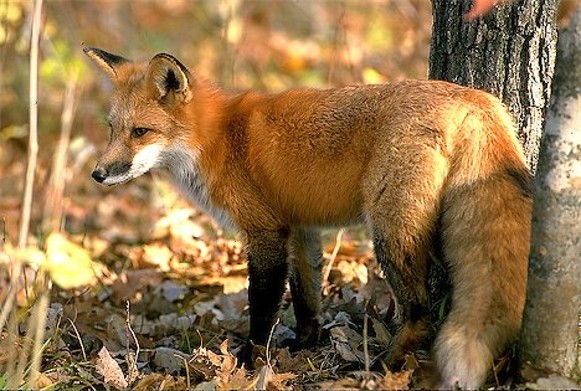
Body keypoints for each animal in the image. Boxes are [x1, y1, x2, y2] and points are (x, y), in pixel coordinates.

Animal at [84, 46, 532, 388]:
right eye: (112, 129)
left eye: (140, 132)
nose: (97, 174)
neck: (220, 140)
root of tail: (471, 98)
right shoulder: (300, 228)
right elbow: (306, 297)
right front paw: (305, 345)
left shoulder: (265, 230)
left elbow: (263, 302)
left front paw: (250, 360)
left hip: (389, 232)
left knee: (420, 310)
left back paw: (381, 365)